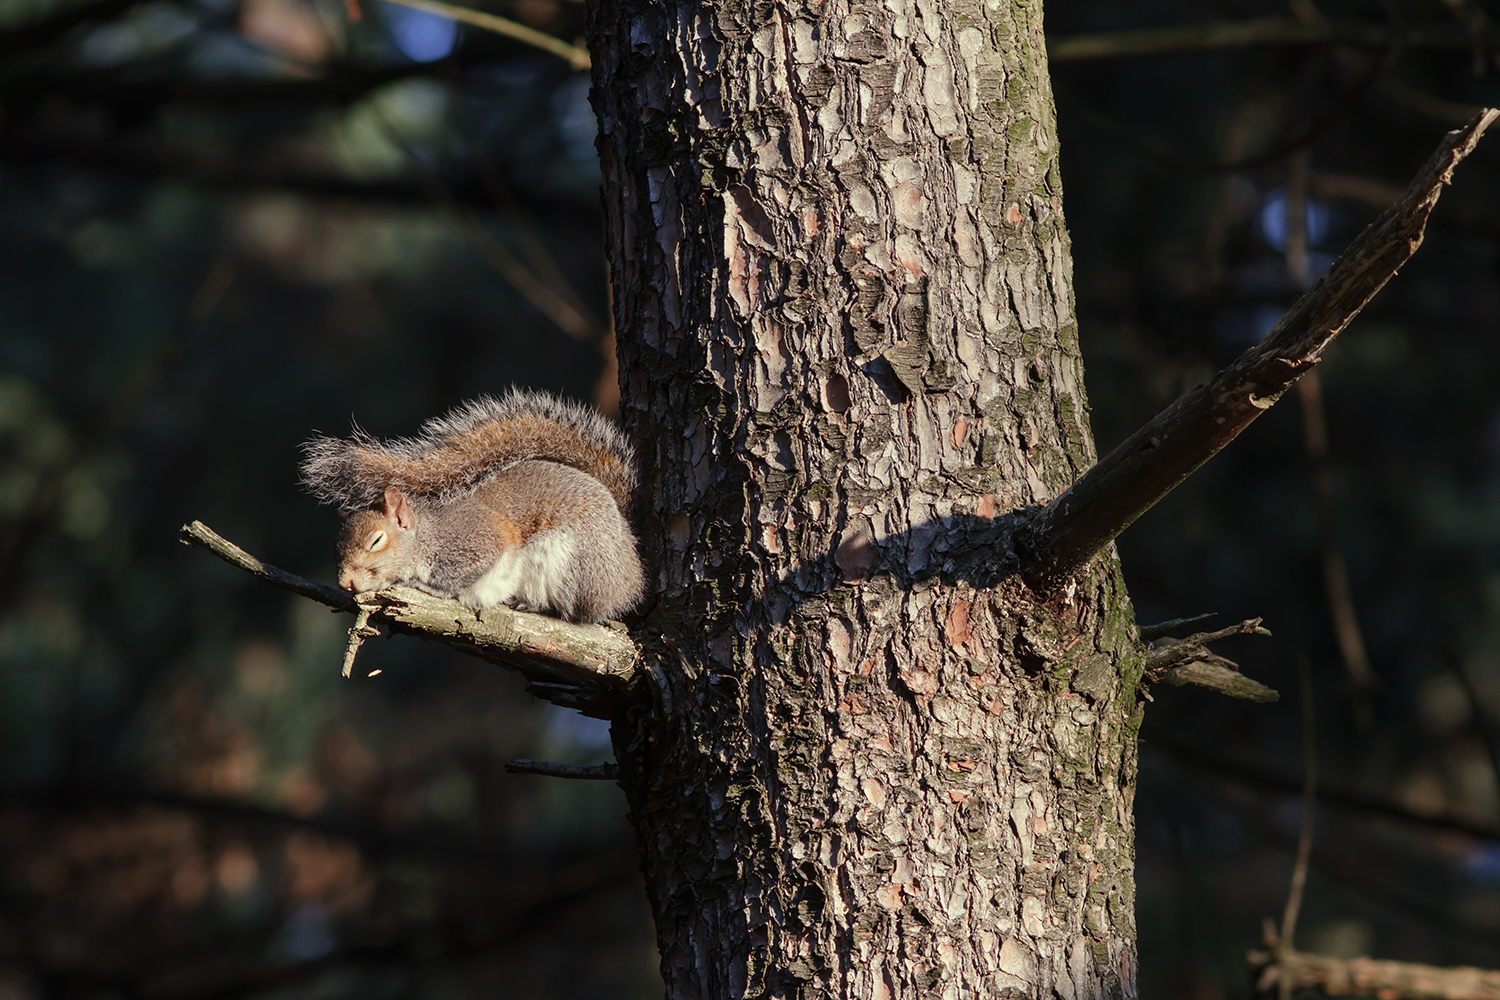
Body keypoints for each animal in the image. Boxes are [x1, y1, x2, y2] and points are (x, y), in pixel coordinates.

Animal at [298, 389, 645, 626]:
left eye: (376, 541)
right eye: (335, 548)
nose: (345, 582)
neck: (427, 536)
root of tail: (630, 559)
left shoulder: (475, 541)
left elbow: (462, 574)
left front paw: (429, 587)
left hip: (573, 563)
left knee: (579, 611)